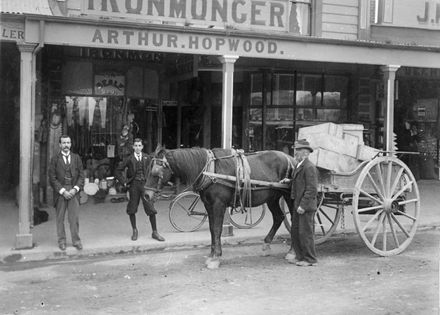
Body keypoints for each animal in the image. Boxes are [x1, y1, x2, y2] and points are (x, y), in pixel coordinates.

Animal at [144, 147, 296, 270]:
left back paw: (292, 252)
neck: (210, 171)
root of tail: (292, 159)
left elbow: (217, 229)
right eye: (148, 169)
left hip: (289, 196)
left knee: (294, 219)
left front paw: (216, 257)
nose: (146, 195)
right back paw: (266, 244)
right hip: (272, 198)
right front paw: (212, 254)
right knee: (279, 217)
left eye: (156, 171)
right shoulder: (209, 205)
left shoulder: (218, 205)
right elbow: (212, 229)